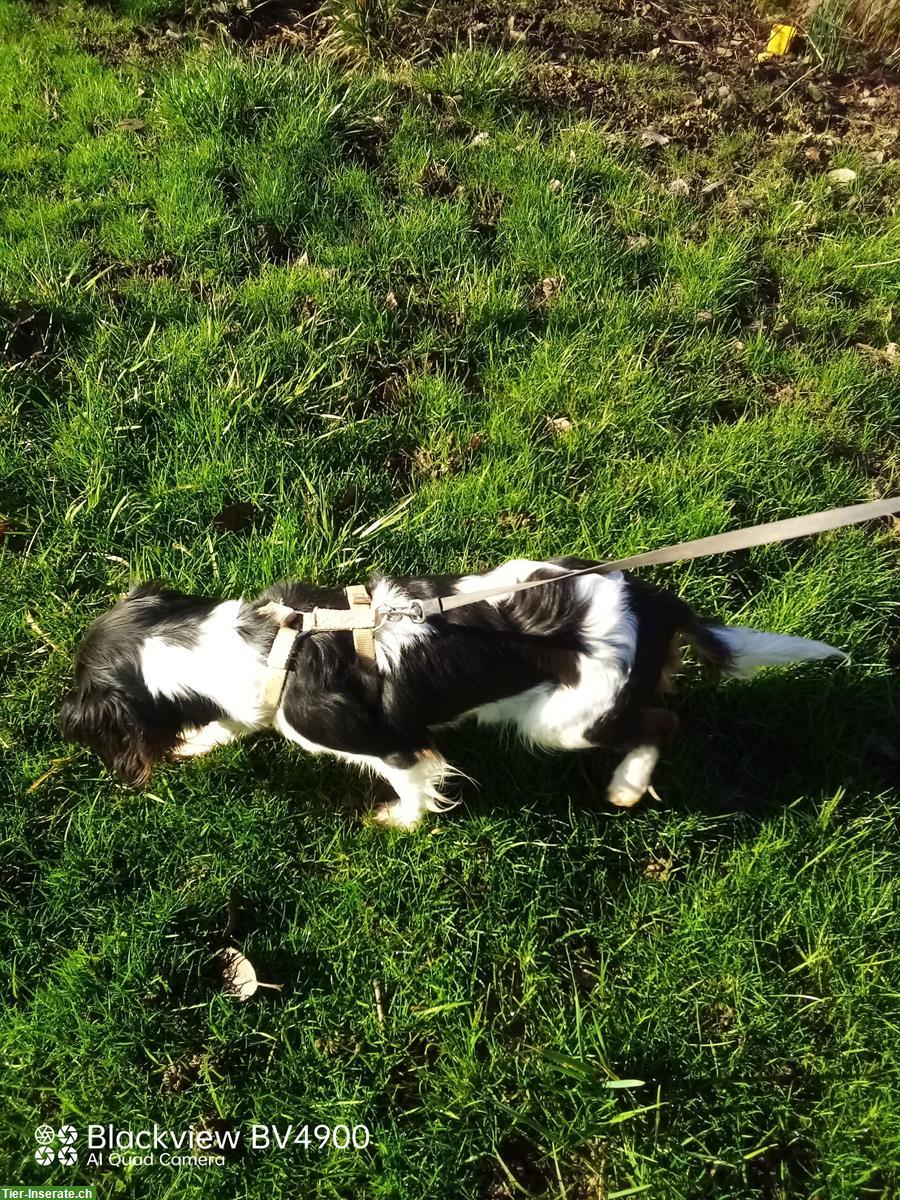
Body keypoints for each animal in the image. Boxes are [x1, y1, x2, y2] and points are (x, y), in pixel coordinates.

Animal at [60, 559, 849, 830]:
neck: (271, 645)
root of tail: (656, 602)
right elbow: (229, 724)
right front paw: (198, 740)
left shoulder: (389, 741)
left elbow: (412, 780)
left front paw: (401, 823)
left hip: (566, 721)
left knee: (662, 720)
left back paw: (627, 785)